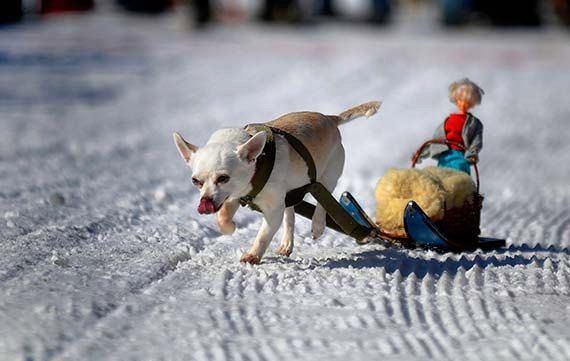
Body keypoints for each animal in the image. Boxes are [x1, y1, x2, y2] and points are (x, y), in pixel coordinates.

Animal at [172, 100, 378, 262]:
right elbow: (223, 216)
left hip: (328, 175)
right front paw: (229, 227)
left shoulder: (272, 211)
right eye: (196, 181)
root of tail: (330, 119)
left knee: (322, 201)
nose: (205, 202)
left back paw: (317, 225)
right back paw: (286, 243)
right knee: (290, 213)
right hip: (290, 191)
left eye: (223, 178)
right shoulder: (233, 195)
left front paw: (253, 256)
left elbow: (263, 235)